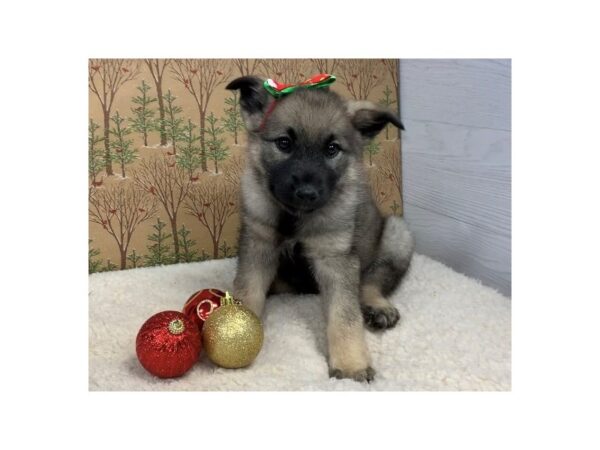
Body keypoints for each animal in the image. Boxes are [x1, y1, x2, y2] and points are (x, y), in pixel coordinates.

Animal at [225, 76, 412, 380]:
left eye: (332, 149)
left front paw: (350, 364)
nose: (307, 193)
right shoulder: (258, 246)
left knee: (371, 282)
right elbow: (247, 291)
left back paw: (378, 306)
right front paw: (235, 328)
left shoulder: (335, 260)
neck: (295, 216)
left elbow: (345, 316)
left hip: (397, 234)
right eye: (284, 143)